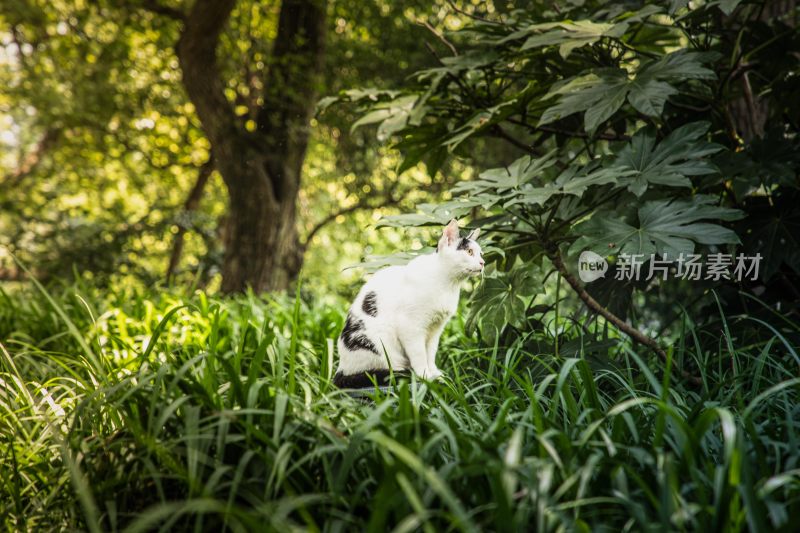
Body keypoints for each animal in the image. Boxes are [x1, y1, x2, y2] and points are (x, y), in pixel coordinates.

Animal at [332, 218, 484, 388]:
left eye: (481, 253)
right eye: (469, 252)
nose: (483, 262)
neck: (448, 284)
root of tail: (340, 369)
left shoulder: (436, 329)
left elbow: (430, 353)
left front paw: (435, 374)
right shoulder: (410, 327)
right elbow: (419, 354)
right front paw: (425, 376)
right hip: (380, 346)